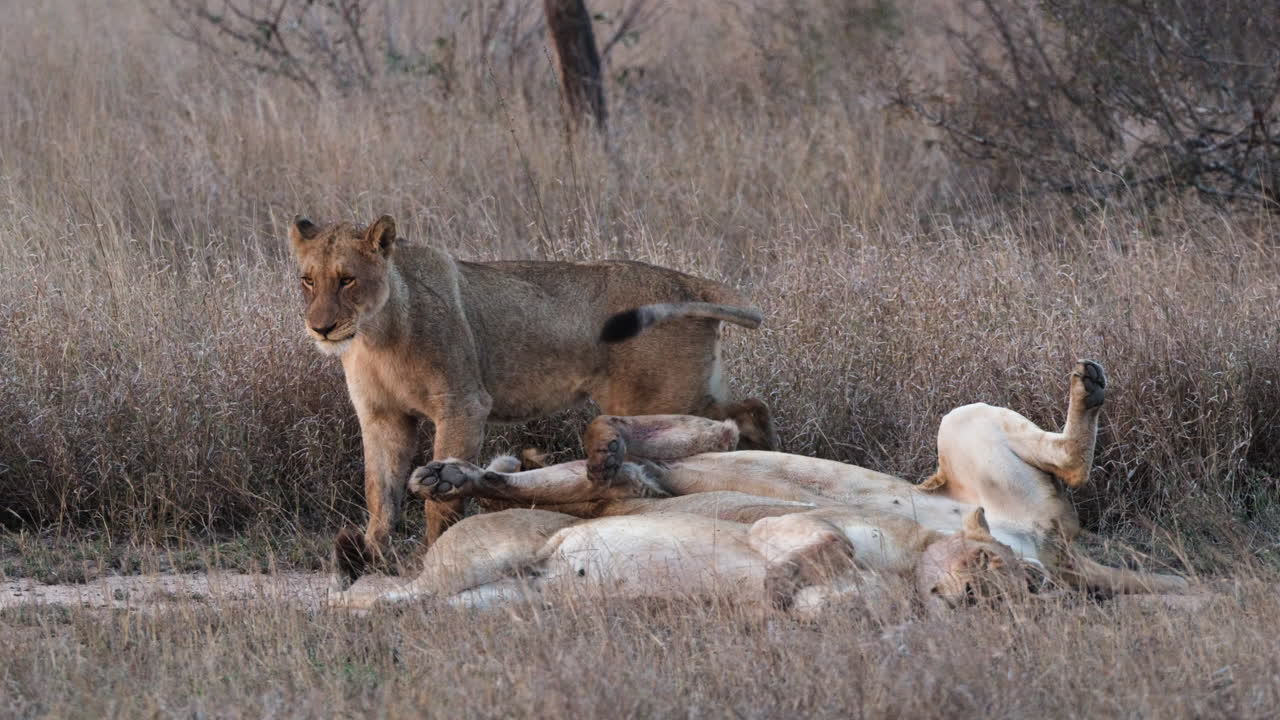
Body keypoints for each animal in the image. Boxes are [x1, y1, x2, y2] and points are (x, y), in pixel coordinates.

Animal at [287, 215, 777, 589]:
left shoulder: (463, 404)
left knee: (728, 425)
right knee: (750, 410)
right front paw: (371, 557)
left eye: (347, 280)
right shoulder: (382, 417)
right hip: (693, 390)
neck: (377, 335)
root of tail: (688, 281)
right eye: (308, 280)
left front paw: (433, 547)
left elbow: (439, 504)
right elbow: (380, 495)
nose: (320, 328)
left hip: (660, 395)